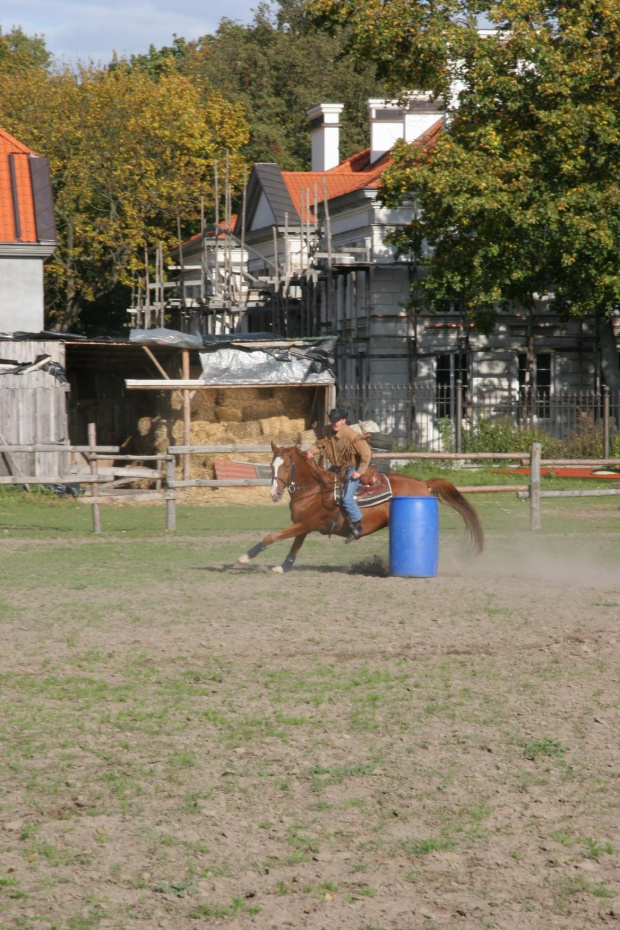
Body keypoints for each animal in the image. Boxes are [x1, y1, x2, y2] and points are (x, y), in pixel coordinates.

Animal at [234, 438, 484, 568]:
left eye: (287, 466)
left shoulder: (306, 523)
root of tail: (424, 484)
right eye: (272, 465)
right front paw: (284, 566)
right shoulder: (303, 526)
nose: (274, 493)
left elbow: (272, 536)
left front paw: (244, 558)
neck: (316, 489)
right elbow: (295, 544)